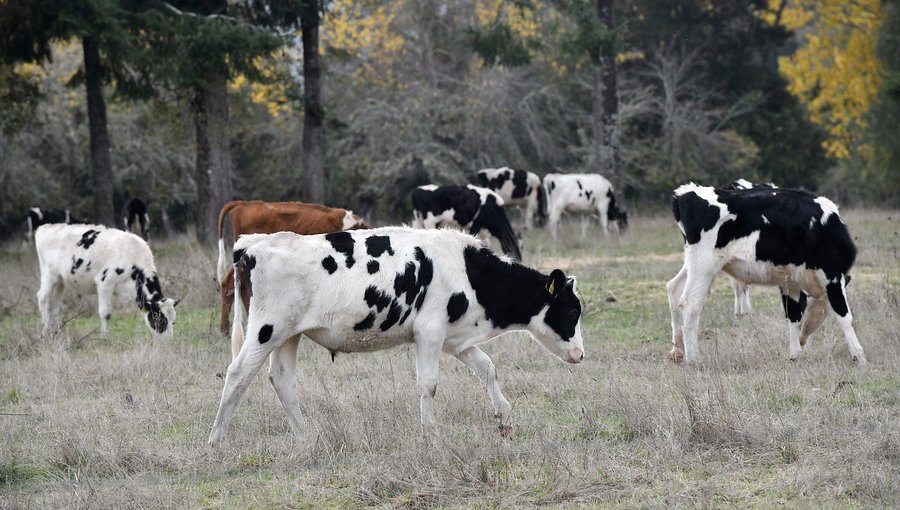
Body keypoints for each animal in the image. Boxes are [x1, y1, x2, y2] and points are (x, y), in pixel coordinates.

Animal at [209, 227, 592, 446]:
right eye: (572, 312)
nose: (580, 354)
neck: (468, 270)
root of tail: (255, 243)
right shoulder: (430, 332)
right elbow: (429, 384)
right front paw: (430, 434)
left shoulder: (456, 340)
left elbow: (487, 369)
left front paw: (505, 422)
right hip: (266, 329)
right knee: (238, 374)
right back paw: (215, 443)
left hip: (289, 334)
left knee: (282, 379)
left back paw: (306, 438)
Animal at [668, 182, 864, 362]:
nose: (803, 340)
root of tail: (686, 192)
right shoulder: (833, 276)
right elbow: (844, 315)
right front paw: (859, 356)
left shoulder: (791, 282)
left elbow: (793, 316)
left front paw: (795, 355)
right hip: (704, 266)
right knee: (690, 304)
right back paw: (693, 359)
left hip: (694, 264)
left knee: (673, 288)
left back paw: (677, 351)